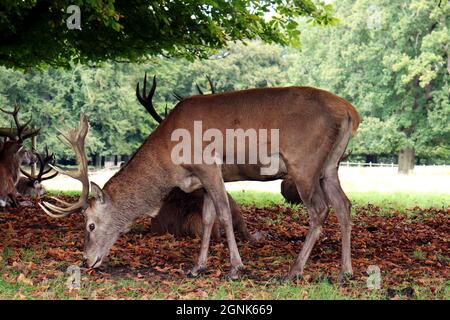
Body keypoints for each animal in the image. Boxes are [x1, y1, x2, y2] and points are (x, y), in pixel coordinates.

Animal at [40, 82, 360, 280]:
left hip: (303, 163)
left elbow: (224, 215)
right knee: (344, 205)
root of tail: (350, 111)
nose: (86, 261)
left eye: (90, 225)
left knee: (319, 210)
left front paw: (236, 268)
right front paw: (198, 267)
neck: (171, 158)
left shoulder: (210, 166)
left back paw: (294, 270)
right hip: (330, 165)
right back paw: (345, 271)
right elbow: (207, 219)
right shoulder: (200, 180)